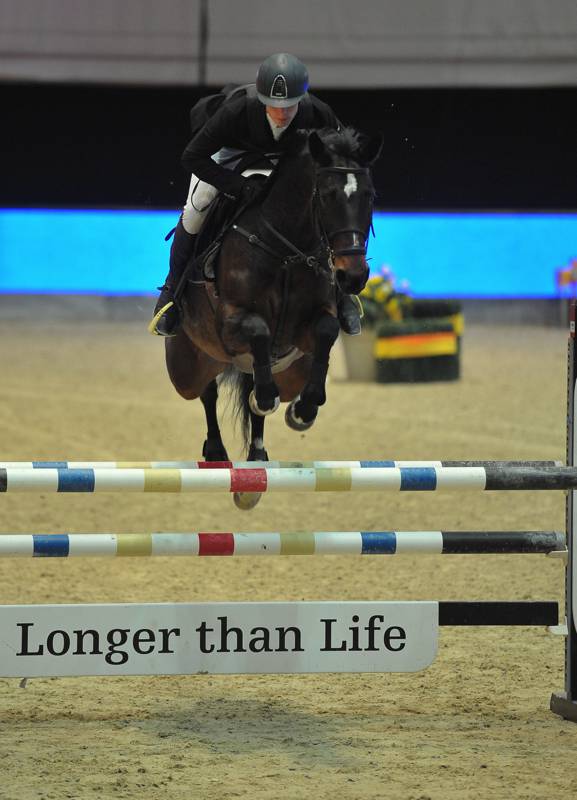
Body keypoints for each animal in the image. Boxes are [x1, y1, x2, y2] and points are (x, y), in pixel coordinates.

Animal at [164, 128, 380, 510]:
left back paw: (257, 461)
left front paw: (303, 411)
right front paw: (266, 398)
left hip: (291, 372)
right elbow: (258, 330)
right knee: (206, 391)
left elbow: (325, 330)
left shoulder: (309, 327)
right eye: (326, 196)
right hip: (187, 368)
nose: (353, 277)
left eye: (369, 196)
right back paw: (217, 451)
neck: (287, 251)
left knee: (259, 389)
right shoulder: (231, 323)